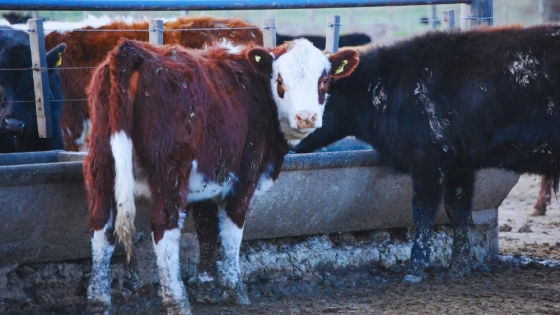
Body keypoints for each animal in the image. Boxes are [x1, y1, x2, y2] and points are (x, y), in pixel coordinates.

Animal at [83, 38, 358, 314]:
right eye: (280, 81)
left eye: (324, 81)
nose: (306, 117)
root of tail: (132, 50)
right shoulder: (245, 177)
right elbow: (231, 230)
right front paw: (234, 289)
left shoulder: (208, 179)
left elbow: (206, 229)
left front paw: (206, 286)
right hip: (171, 170)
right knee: (164, 225)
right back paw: (177, 300)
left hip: (101, 161)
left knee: (100, 222)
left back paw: (98, 299)